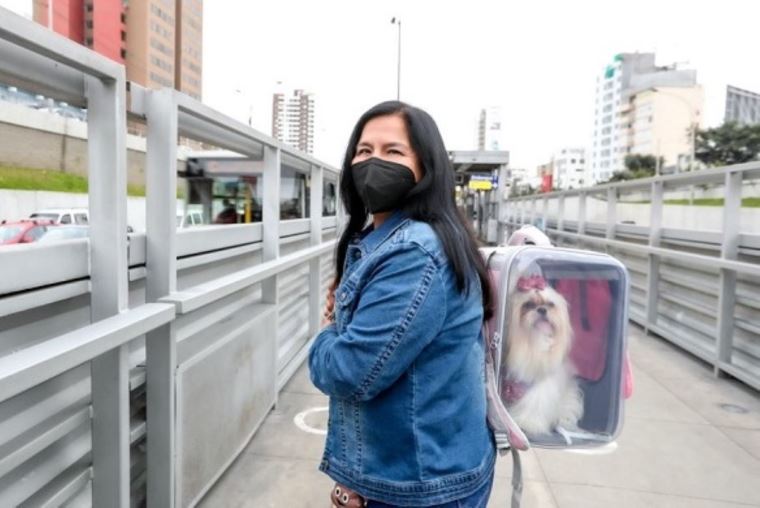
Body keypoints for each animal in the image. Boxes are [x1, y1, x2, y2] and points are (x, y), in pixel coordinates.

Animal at [502, 274, 584, 436]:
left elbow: (536, 404)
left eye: (550, 304)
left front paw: (529, 423)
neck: (536, 339)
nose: (542, 309)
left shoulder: (543, 387)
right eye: (528, 304)